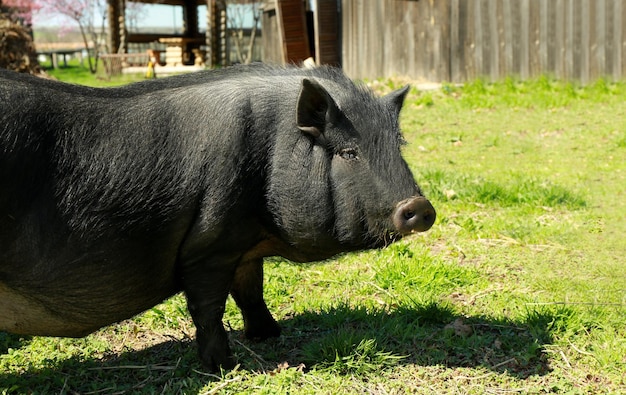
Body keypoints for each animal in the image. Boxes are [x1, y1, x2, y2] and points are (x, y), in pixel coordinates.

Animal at [1, 65, 434, 372]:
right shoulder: (210, 243)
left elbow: (251, 290)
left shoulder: (244, 244)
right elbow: (209, 306)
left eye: (398, 146)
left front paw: (269, 335)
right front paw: (225, 366)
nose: (421, 207)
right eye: (348, 153)